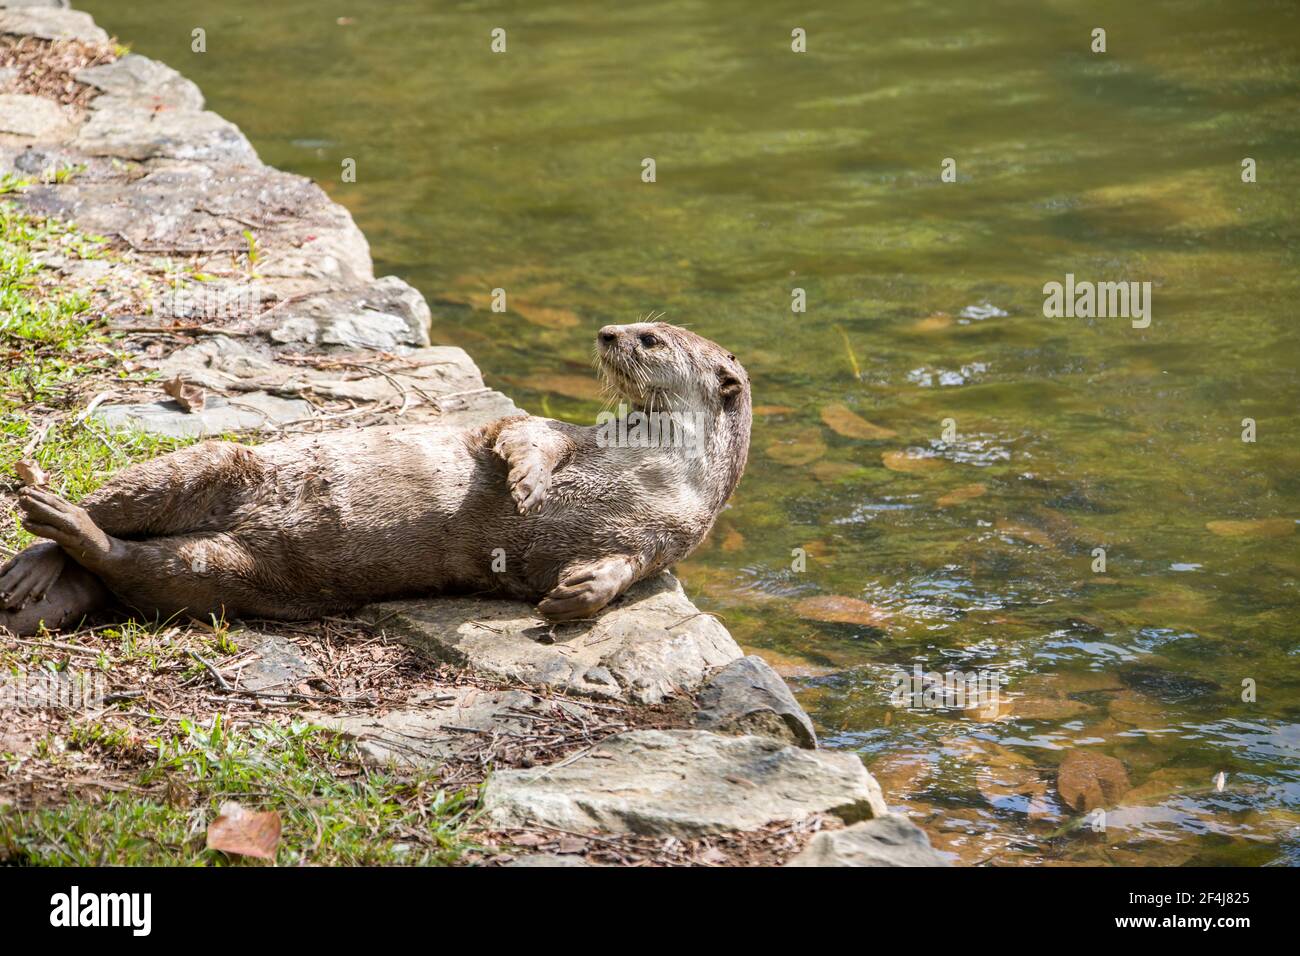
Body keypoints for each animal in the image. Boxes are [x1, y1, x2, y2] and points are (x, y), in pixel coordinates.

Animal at [0, 323, 754, 634]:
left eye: (650, 338)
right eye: (634, 326)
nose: (606, 332)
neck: (656, 468)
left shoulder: (665, 538)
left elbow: (619, 572)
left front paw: (574, 598)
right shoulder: (573, 434)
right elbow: (522, 437)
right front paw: (528, 485)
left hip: (232, 574)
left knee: (138, 568)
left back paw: (68, 544)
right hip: (211, 465)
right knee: (120, 506)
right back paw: (41, 532)